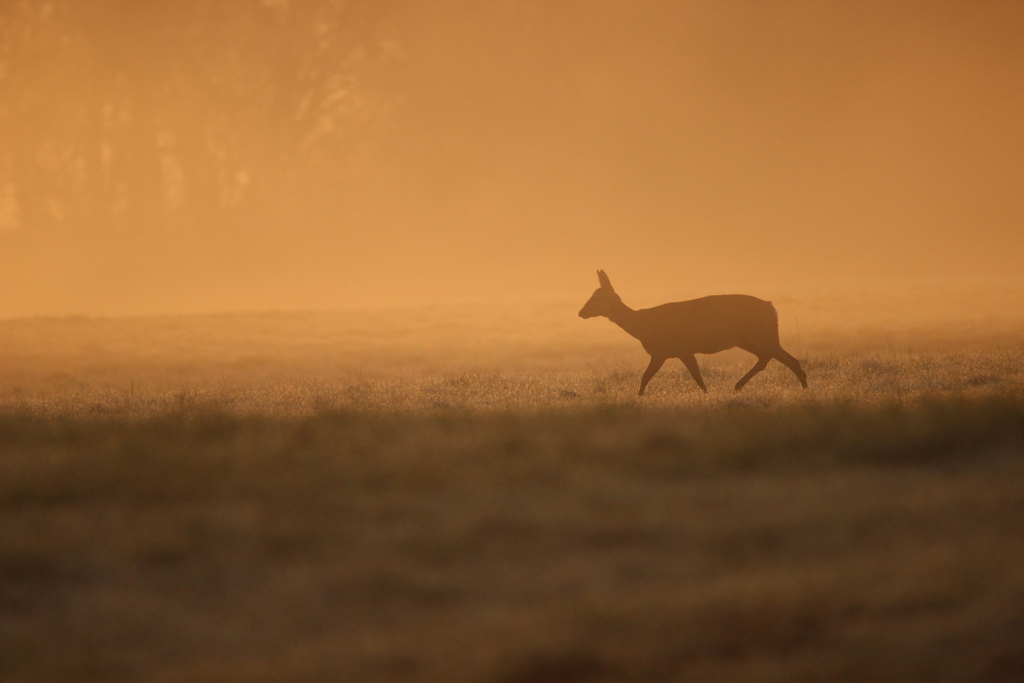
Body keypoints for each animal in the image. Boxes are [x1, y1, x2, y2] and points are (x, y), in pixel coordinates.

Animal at [577, 268, 806, 395]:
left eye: (596, 298)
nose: (581, 312)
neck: (642, 326)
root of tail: (772, 308)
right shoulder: (684, 351)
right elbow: (697, 378)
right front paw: (707, 395)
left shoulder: (665, 350)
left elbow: (645, 377)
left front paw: (639, 397)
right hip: (747, 339)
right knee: (766, 358)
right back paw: (737, 386)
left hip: (763, 334)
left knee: (791, 360)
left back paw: (805, 389)